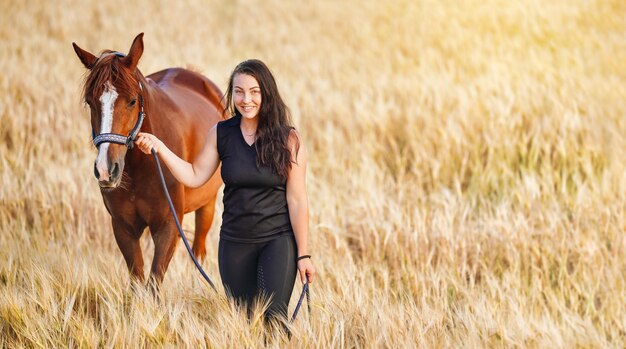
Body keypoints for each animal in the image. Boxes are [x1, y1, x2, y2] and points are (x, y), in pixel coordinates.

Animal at [72, 33, 223, 286]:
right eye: (90, 102)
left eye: (133, 101)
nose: (106, 170)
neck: (141, 167)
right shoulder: (123, 228)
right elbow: (137, 280)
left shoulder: (168, 226)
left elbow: (153, 282)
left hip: (207, 205)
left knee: (199, 249)